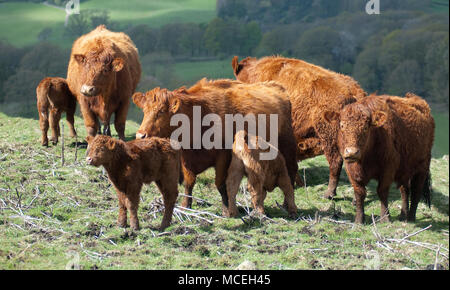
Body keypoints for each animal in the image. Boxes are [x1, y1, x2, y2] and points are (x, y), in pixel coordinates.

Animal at [132, 78, 298, 216]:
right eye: (144, 111)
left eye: (161, 112)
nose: (141, 135)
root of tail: (276, 86)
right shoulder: (186, 159)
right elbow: (189, 183)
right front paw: (186, 205)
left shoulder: (223, 157)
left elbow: (220, 184)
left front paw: (226, 209)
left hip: (287, 147)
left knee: (289, 176)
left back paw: (288, 206)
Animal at [324, 93, 436, 222]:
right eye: (342, 125)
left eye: (366, 127)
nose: (352, 152)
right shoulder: (351, 169)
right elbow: (359, 193)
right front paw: (359, 220)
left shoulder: (388, 168)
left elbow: (382, 191)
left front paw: (385, 218)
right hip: (405, 169)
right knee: (405, 190)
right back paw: (403, 215)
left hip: (422, 167)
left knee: (416, 192)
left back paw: (411, 218)